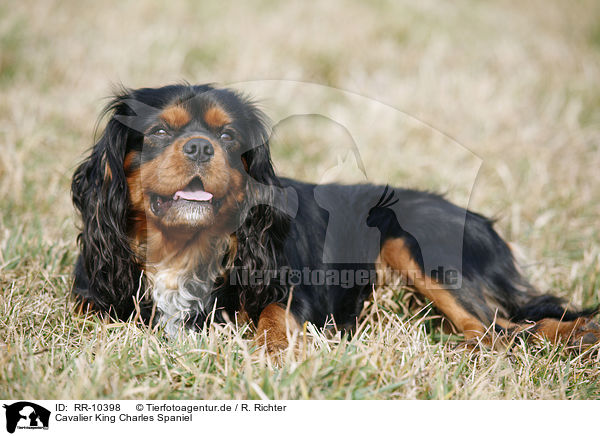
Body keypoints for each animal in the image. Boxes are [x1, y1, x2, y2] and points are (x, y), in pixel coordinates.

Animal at [71, 83, 600, 352]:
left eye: (227, 137)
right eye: (159, 132)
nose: (201, 147)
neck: (183, 243)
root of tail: (477, 218)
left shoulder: (287, 288)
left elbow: (274, 316)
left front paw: (275, 352)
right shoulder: (91, 296)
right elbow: (84, 320)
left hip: (408, 240)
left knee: (501, 330)